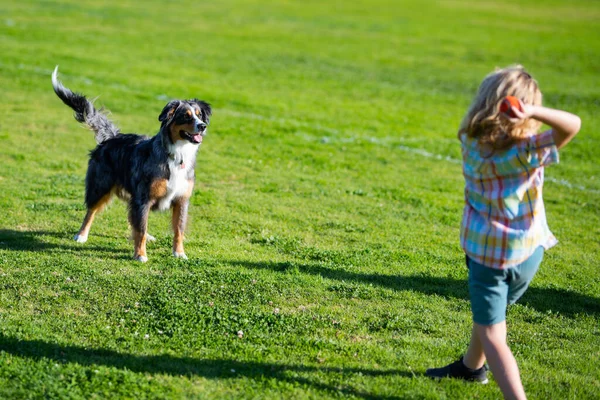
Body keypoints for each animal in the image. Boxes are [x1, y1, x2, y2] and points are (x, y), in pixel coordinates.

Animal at [51, 66, 212, 262]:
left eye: (199, 115)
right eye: (186, 117)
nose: (203, 126)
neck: (177, 155)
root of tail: (112, 137)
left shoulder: (181, 200)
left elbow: (177, 230)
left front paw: (179, 253)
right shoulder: (143, 198)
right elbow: (141, 228)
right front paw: (140, 255)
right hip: (101, 186)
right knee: (91, 211)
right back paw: (81, 235)